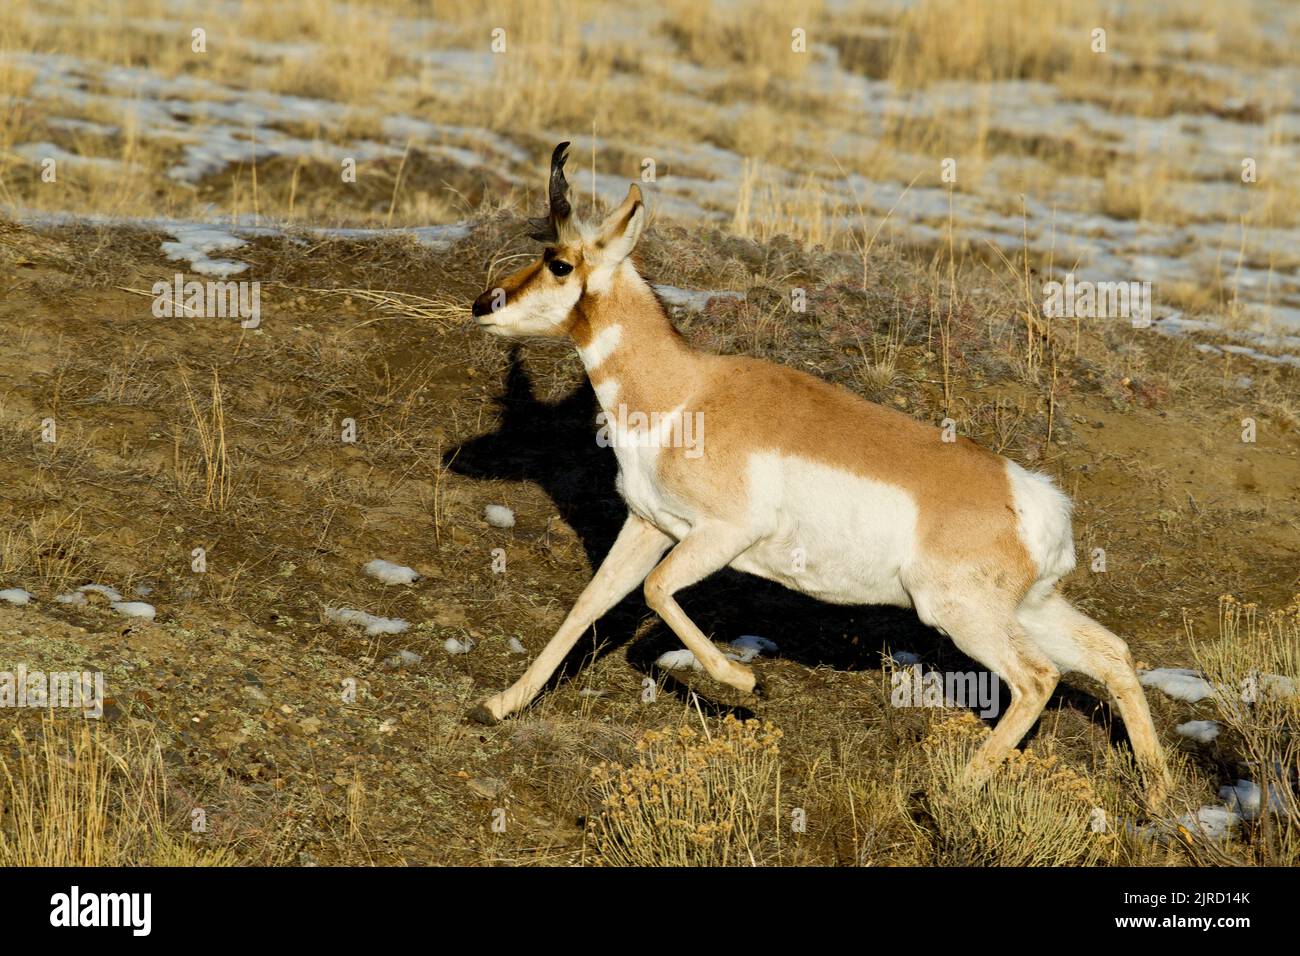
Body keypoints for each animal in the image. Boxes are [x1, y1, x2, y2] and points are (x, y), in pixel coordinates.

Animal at [468, 142, 1171, 805]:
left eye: (560, 262)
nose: (481, 305)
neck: (685, 393)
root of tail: (1034, 500)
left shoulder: (722, 535)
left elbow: (657, 591)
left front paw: (743, 680)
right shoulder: (649, 526)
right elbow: (591, 603)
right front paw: (499, 705)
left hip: (961, 615)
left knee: (1037, 679)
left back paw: (953, 792)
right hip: (1031, 609)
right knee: (1111, 655)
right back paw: (1159, 794)